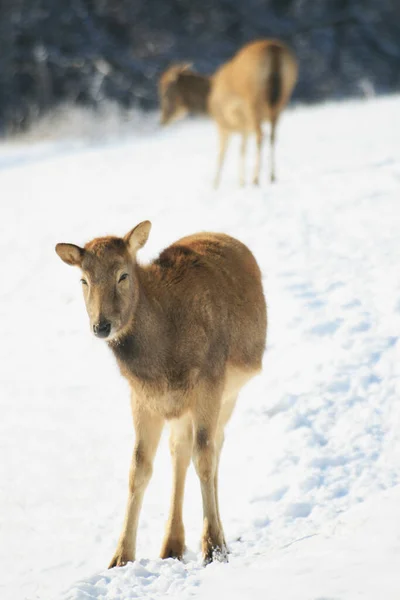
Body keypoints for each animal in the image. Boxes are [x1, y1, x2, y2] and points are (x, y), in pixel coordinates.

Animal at [54, 221, 268, 568]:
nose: (102, 326)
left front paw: (214, 548)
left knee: (213, 446)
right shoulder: (143, 397)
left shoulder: (210, 382)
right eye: (84, 279)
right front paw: (120, 557)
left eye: (123, 275)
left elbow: (204, 456)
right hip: (181, 407)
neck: (162, 360)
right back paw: (172, 545)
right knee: (178, 450)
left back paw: (211, 539)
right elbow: (138, 467)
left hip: (229, 393)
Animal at [159, 39, 296, 188]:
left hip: (253, 102)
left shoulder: (225, 125)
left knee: (261, 135)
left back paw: (256, 179)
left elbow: (223, 154)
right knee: (272, 135)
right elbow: (242, 150)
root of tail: (274, 50)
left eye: (164, 91)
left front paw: (217, 184)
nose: (162, 120)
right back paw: (272, 176)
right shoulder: (243, 128)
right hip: (282, 99)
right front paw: (241, 182)